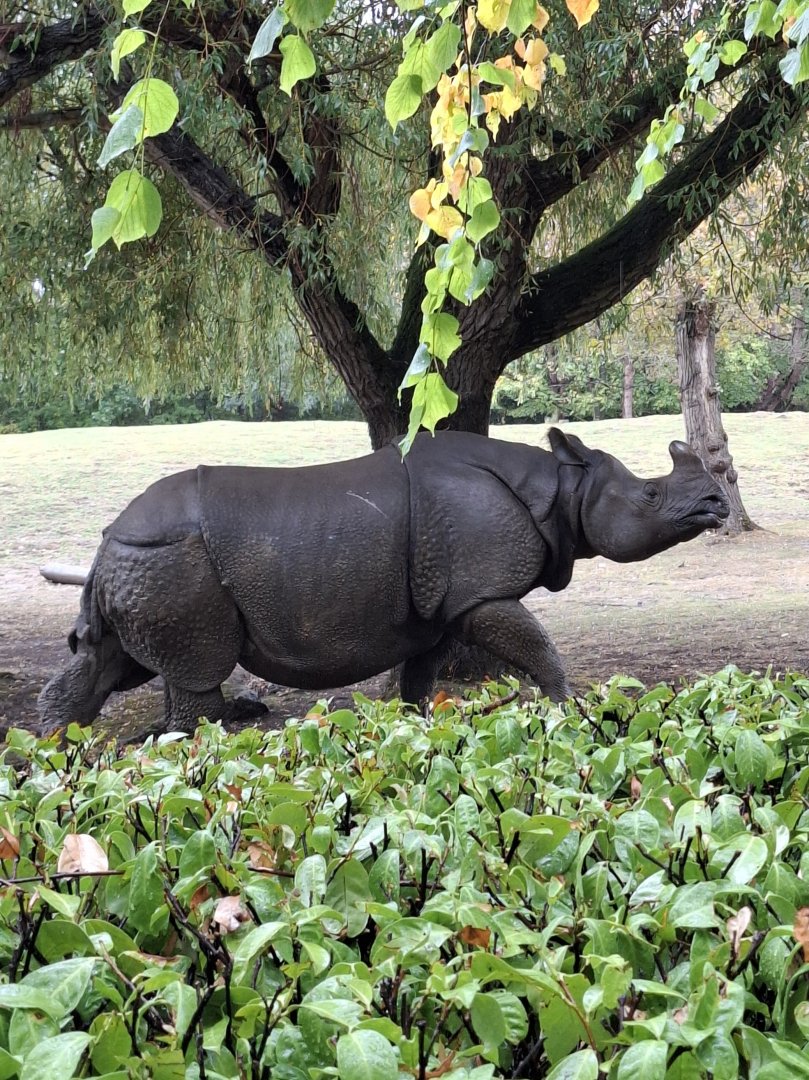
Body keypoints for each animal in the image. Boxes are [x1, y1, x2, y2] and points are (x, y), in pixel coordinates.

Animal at [37, 428, 728, 735]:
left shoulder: (439, 605)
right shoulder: (479, 590)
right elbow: (534, 643)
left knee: (116, 661)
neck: (561, 487)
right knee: (194, 669)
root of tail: (106, 538)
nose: (718, 505)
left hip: (144, 559)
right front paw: (571, 707)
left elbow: (420, 673)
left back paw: (58, 749)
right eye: (651, 495)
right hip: (172, 558)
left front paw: (414, 725)